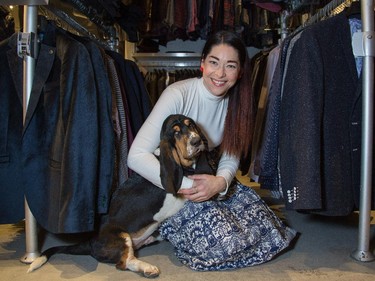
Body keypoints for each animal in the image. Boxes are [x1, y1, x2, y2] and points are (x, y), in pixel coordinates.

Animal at [27, 113, 217, 276]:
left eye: (190, 125)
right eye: (176, 132)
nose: (196, 141)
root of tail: (91, 241)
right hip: (122, 236)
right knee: (124, 263)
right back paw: (147, 268)